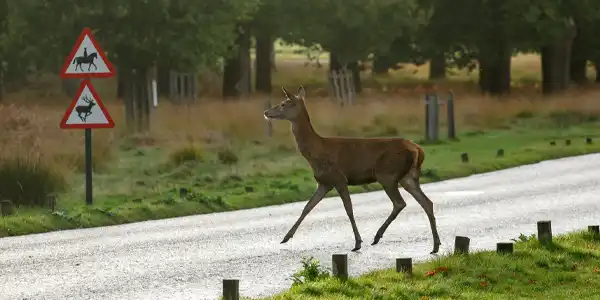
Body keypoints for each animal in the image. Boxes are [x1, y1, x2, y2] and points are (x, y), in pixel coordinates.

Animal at [264, 85, 442, 254]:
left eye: (284, 103)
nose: (266, 112)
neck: (316, 152)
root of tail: (418, 149)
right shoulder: (324, 182)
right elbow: (307, 207)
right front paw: (286, 237)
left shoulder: (339, 178)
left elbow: (348, 209)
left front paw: (357, 243)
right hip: (409, 176)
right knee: (427, 202)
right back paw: (435, 245)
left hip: (387, 173)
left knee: (400, 203)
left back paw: (377, 236)